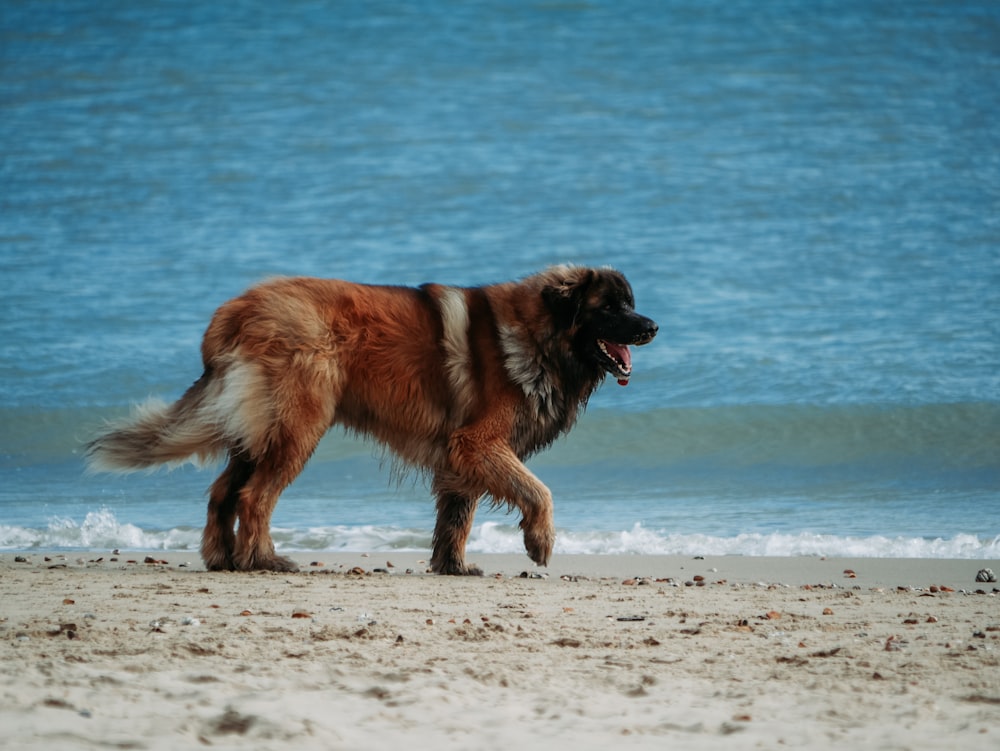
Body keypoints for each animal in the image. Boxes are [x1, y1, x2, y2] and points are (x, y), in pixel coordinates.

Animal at [88, 266, 656, 576]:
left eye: (631, 303)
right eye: (610, 308)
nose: (652, 325)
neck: (539, 336)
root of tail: (236, 309)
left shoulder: (461, 452)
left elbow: (457, 515)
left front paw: (453, 567)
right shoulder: (479, 441)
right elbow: (538, 490)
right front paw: (539, 541)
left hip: (256, 432)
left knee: (222, 492)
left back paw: (221, 558)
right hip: (298, 428)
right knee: (253, 497)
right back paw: (263, 559)